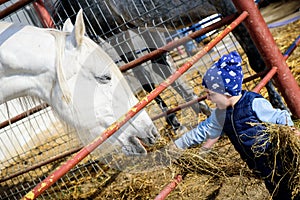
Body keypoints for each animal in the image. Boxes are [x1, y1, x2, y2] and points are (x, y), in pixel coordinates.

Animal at [51, 0, 286, 131]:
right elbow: (256, 59)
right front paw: (277, 104)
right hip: (116, 35)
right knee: (145, 74)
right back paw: (180, 117)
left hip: (135, 28)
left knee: (158, 66)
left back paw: (196, 108)